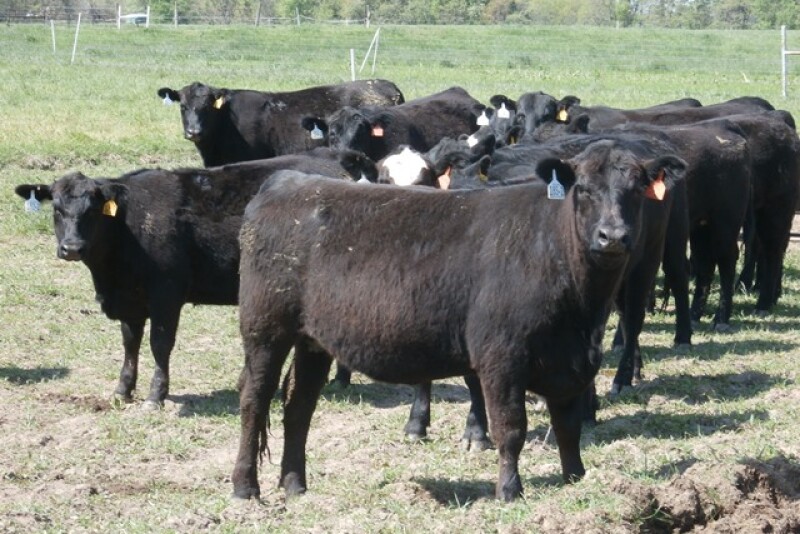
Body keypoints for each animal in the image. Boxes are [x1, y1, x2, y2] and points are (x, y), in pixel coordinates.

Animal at [15, 149, 377, 409]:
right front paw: (122, 390)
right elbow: (130, 343)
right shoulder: (130, 300)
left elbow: (159, 344)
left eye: (92, 210)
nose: (72, 247)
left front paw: (155, 396)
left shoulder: (166, 294)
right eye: (56, 208)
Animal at [231, 140, 687, 502]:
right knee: (254, 401)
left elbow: (569, 425)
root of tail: (286, 181)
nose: (613, 236)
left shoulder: (572, 360)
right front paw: (509, 490)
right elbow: (511, 427)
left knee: (298, 406)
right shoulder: (502, 358)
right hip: (264, 330)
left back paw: (295, 484)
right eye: (584, 190)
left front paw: (576, 478)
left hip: (312, 341)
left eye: (636, 190)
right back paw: (245, 487)